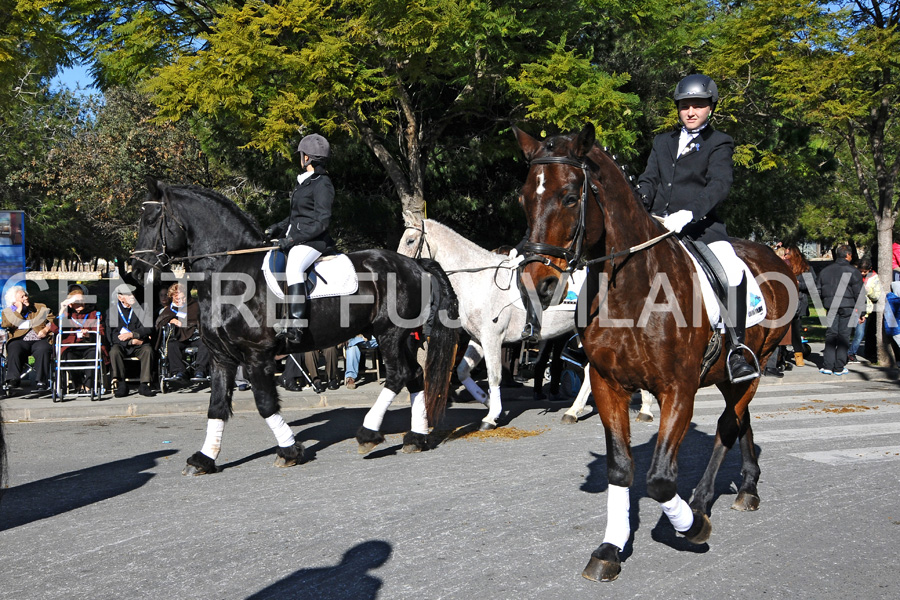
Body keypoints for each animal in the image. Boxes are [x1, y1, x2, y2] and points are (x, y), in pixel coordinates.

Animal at [130, 180, 460, 476]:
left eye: (151, 219)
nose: (136, 272)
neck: (228, 274)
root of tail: (414, 264)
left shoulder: (256, 355)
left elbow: (265, 404)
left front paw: (289, 451)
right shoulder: (221, 357)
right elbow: (217, 406)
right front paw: (203, 459)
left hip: (388, 333)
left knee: (397, 375)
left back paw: (368, 434)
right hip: (404, 337)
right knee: (415, 376)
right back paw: (416, 438)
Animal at [400, 218, 596, 428]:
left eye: (410, 241)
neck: (477, 280)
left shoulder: (492, 338)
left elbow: (494, 375)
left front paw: (491, 416)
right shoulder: (478, 339)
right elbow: (462, 371)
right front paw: (489, 402)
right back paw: (573, 411)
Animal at [512, 125, 796, 580]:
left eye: (571, 197)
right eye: (524, 197)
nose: (535, 285)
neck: (631, 288)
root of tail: (773, 256)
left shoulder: (677, 389)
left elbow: (661, 478)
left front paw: (691, 525)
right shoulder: (607, 384)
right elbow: (620, 467)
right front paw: (610, 548)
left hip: (758, 358)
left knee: (728, 425)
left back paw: (701, 502)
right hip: (730, 374)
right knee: (741, 418)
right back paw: (748, 486)